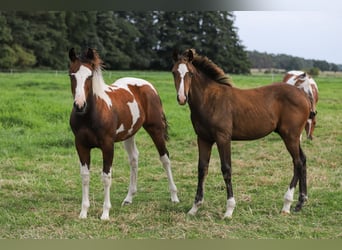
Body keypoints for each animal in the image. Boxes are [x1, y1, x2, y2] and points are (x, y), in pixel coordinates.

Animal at [67, 47, 179, 220]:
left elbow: (106, 177)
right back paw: (128, 198)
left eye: (90, 76)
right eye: (71, 75)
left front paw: (105, 213)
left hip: (155, 129)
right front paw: (83, 212)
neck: (91, 115)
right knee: (134, 159)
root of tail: (148, 86)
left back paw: (174, 196)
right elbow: (85, 176)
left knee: (165, 158)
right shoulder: (81, 145)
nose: (80, 105)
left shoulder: (107, 145)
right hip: (129, 134)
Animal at [172, 48, 312, 219]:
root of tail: (303, 95)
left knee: (297, 162)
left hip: (290, 136)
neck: (210, 100)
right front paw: (195, 207)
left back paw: (286, 204)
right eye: (174, 72)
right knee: (303, 160)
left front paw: (229, 210)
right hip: (293, 136)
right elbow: (202, 169)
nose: (181, 98)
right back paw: (300, 202)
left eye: (191, 74)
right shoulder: (203, 139)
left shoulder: (223, 138)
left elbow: (226, 169)